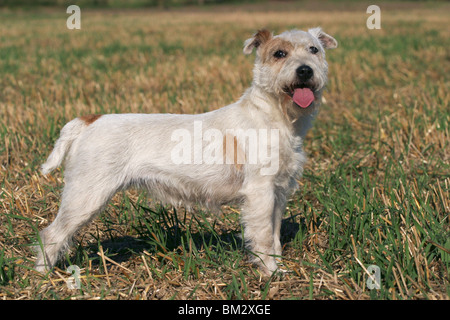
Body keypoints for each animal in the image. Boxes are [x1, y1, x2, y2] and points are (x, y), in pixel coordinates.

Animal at [35, 26, 336, 276]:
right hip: (84, 196)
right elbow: (262, 237)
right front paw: (270, 273)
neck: (276, 116)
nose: (305, 71)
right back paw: (43, 277)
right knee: (51, 234)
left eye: (314, 50)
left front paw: (279, 267)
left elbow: (274, 236)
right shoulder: (260, 193)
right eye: (279, 53)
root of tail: (90, 120)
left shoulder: (278, 192)